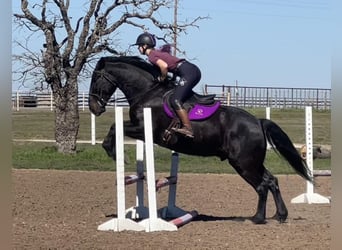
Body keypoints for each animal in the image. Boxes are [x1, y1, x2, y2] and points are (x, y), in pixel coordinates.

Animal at [88, 55, 312, 224]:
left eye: (96, 79)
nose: (94, 108)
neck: (148, 91)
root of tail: (258, 122)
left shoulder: (144, 129)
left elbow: (114, 127)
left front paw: (115, 154)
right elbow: (115, 127)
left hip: (244, 164)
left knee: (262, 185)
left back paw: (257, 218)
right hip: (252, 162)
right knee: (271, 180)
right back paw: (280, 215)